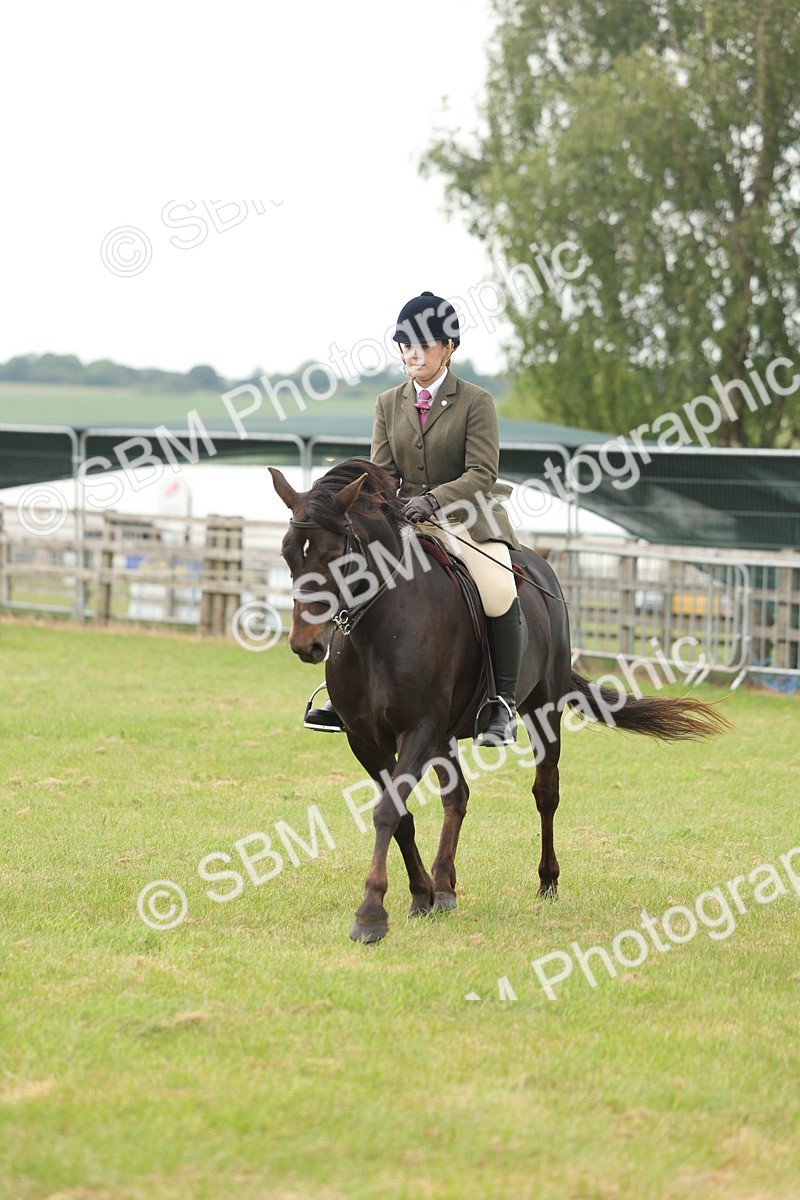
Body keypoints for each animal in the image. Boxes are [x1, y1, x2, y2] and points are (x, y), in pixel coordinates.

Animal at [269, 458, 729, 943]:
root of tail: (539, 564)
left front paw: (371, 913)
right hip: (447, 735)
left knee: (546, 793)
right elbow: (402, 815)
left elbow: (388, 811)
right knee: (458, 797)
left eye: (336, 555)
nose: (305, 645)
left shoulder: (418, 730)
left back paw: (547, 882)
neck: (380, 629)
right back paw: (443, 887)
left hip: (541, 712)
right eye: (288, 555)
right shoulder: (364, 739)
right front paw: (420, 895)